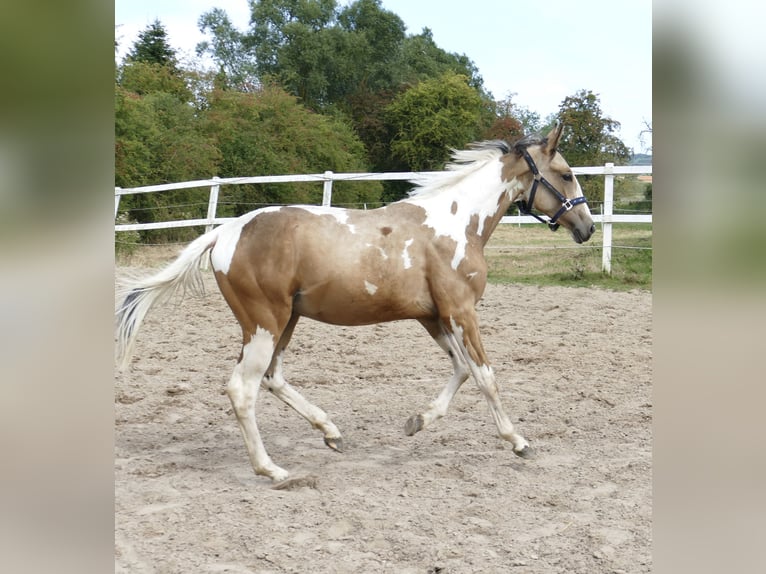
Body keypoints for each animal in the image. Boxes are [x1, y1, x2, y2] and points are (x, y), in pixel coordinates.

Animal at [115, 123, 595, 483]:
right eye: (566, 173)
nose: (587, 227)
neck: (457, 225)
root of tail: (226, 232)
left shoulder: (433, 317)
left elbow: (461, 370)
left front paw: (416, 422)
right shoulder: (461, 312)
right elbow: (485, 377)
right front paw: (519, 442)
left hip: (285, 321)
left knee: (272, 378)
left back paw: (331, 432)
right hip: (265, 321)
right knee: (243, 388)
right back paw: (272, 469)